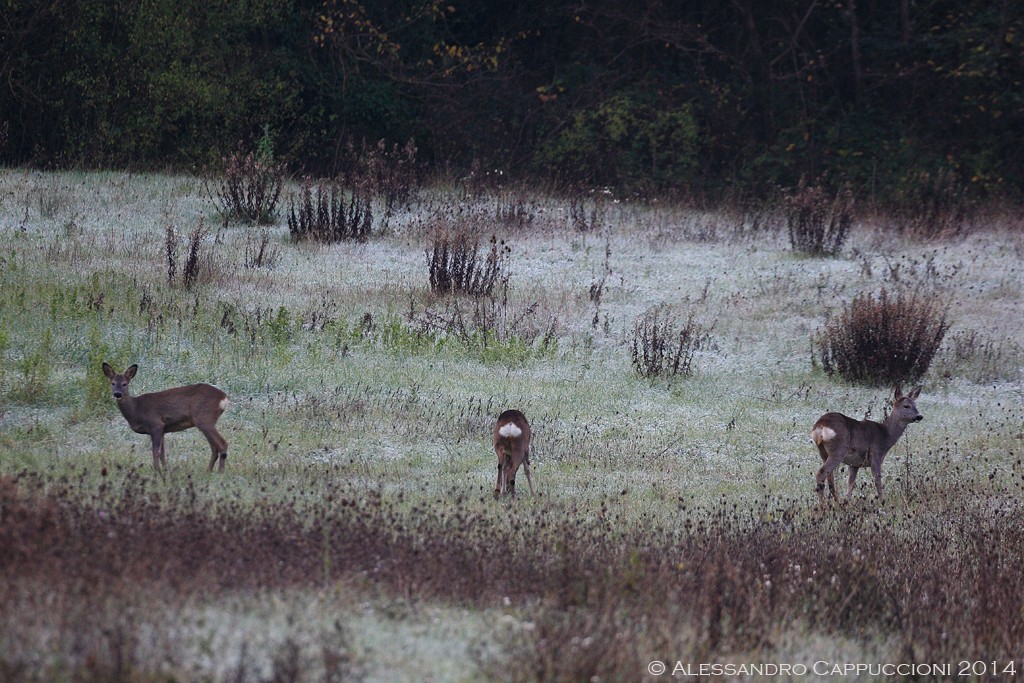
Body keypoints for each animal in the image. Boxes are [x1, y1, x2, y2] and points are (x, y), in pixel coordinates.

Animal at [101, 362, 230, 475]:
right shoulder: (163, 429)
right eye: (112, 383)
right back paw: (208, 471)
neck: (136, 409)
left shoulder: (156, 424)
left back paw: (220, 472)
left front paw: (157, 471)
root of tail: (224, 397)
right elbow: (162, 452)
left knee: (222, 443)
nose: (117, 394)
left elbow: (156, 451)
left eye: (124, 383)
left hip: (204, 418)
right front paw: (165, 470)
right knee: (214, 447)